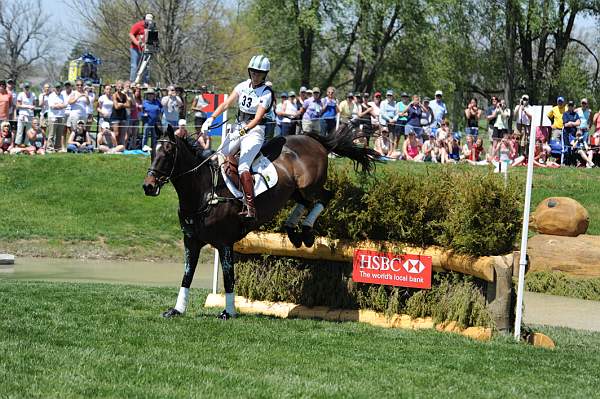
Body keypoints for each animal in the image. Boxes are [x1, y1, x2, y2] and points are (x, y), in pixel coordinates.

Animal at [142, 123, 376, 320]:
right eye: (153, 151)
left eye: (168, 152)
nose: (148, 186)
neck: (204, 191)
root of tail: (312, 140)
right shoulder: (191, 242)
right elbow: (187, 276)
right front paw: (176, 310)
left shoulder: (224, 243)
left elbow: (229, 277)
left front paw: (228, 312)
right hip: (295, 190)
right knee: (304, 201)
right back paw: (293, 231)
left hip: (310, 185)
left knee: (324, 196)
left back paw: (306, 231)